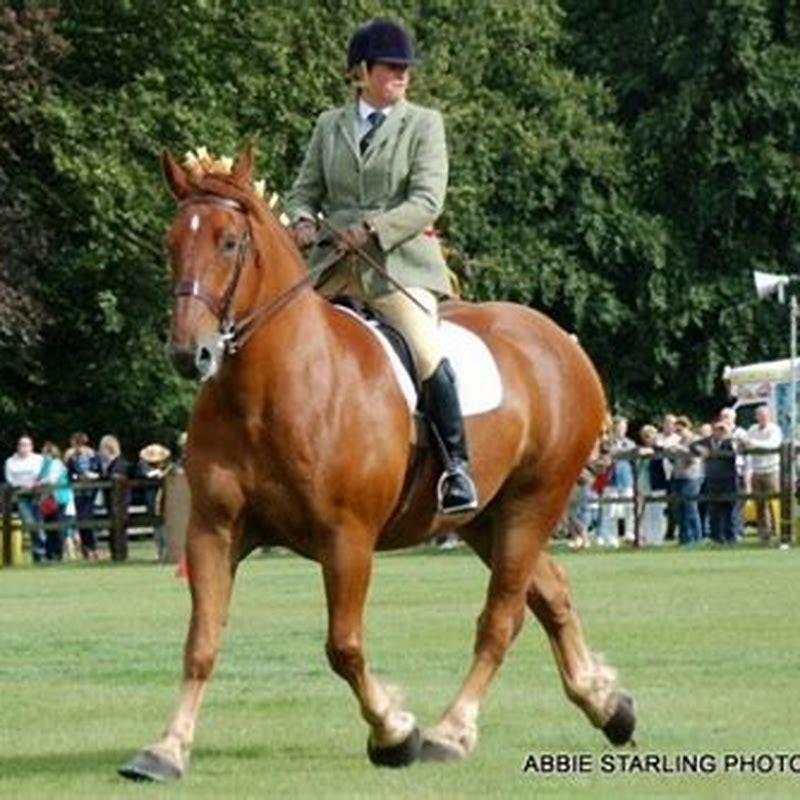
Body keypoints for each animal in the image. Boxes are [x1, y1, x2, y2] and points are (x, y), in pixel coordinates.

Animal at [119, 146, 635, 782]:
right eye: (171, 242)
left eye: (229, 243)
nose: (190, 353)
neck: (268, 390)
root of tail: (562, 341)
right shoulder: (212, 532)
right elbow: (201, 643)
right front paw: (166, 748)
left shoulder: (347, 539)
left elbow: (344, 646)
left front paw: (394, 731)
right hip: (484, 519)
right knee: (550, 596)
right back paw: (608, 705)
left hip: (532, 504)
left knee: (500, 619)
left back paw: (451, 732)